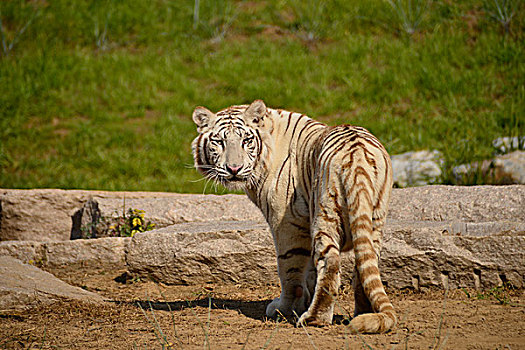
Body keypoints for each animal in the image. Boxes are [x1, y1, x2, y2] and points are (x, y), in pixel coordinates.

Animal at [193, 99, 398, 334]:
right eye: (219, 142)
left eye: (246, 140)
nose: (234, 169)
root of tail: (358, 158)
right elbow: (309, 271)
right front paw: (303, 301)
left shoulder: (286, 223)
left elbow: (289, 269)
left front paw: (285, 308)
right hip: (375, 219)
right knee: (365, 265)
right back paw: (363, 314)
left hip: (325, 212)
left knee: (331, 262)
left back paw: (314, 318)